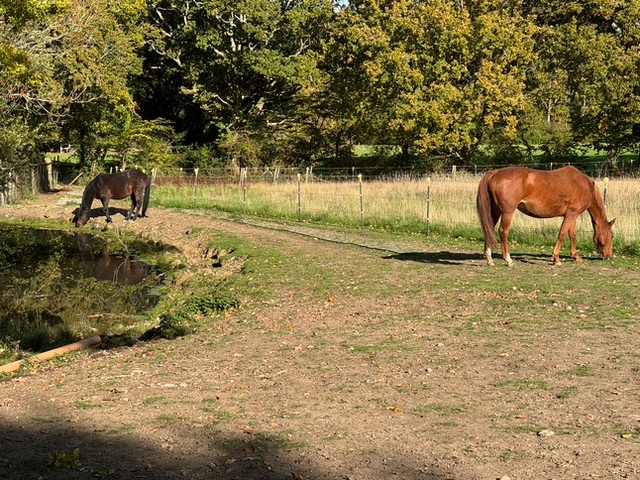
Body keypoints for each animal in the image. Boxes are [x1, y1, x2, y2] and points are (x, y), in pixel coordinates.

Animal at [476, 166, 615, 266]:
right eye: (612, 236)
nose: (609, 256)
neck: (584, 186)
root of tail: (495, 173)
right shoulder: (571, 215)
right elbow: (562, 234)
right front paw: (556, 259)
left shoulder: (572, 215)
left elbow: (572, 235)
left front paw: (575, 256)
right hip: (507, 213)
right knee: (503, 232)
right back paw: (508, 259)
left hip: (495, 211)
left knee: (489, 229)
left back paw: (489, 259)